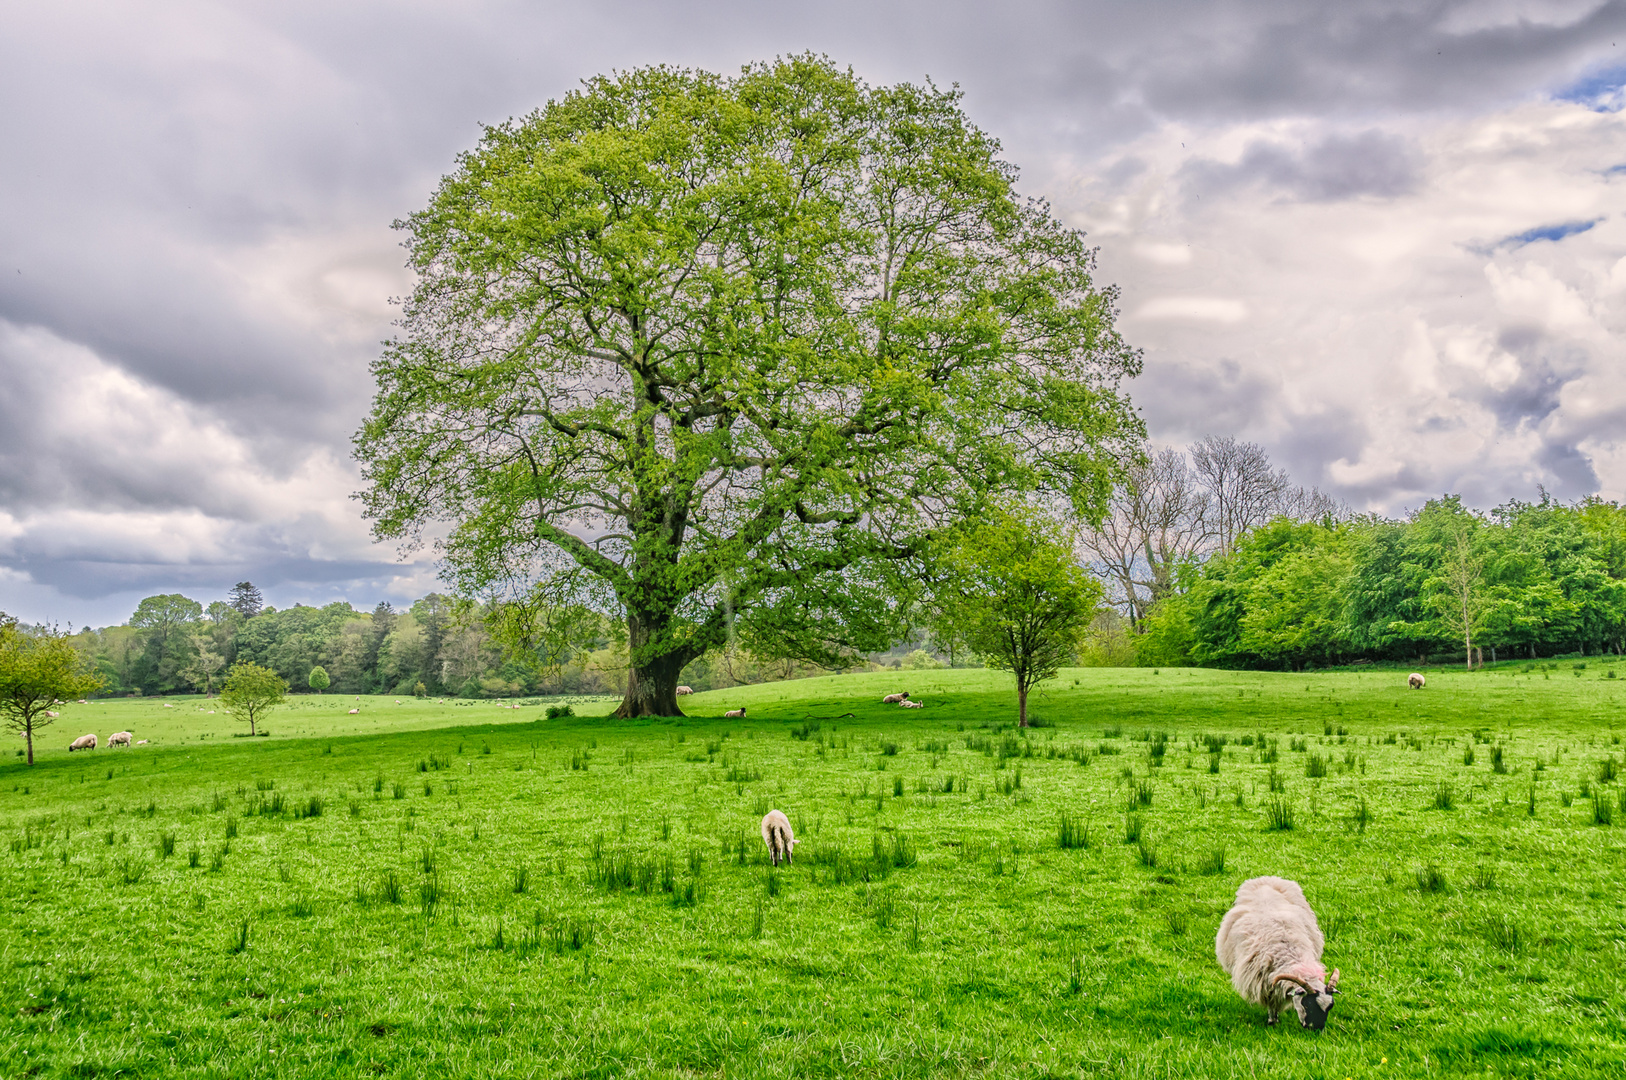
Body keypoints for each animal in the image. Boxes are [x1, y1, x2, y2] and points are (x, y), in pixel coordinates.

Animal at [1216, 871, 1339, 1027]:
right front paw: (1272, 1021)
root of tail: (1266, 877)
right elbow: (1271, 1003)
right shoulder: (1264, 983)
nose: (1316, 1029)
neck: (1287, 950)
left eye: (1330, 1006)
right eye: (1307, 1005)